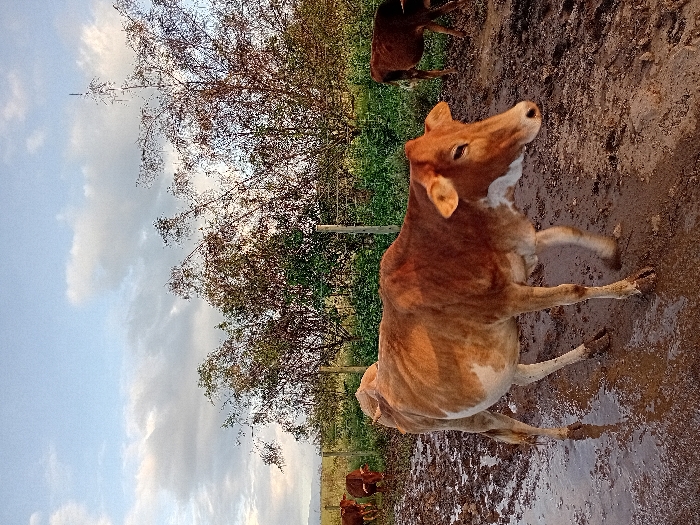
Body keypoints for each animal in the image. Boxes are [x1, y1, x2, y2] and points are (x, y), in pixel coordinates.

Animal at [355, 100, 656, 444]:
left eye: (459, 125)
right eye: (459, 151)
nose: (527, 109)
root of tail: (374, 397)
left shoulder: (524, 249)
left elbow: (568, 232)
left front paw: (611, 252)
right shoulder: (508, 300)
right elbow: (572, 291)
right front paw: (633, 287)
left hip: (499, 374)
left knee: (523, 376)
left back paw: (589, 350)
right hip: (467, 419)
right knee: (510, 426)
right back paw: (563, 431)